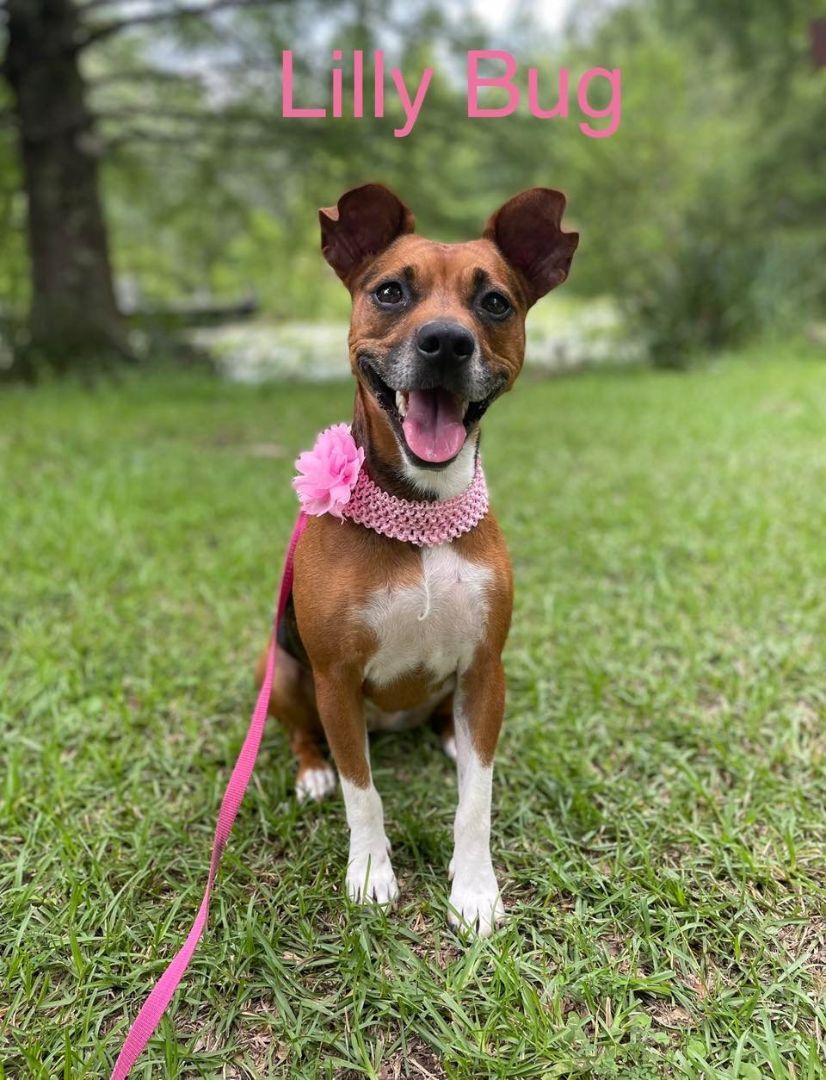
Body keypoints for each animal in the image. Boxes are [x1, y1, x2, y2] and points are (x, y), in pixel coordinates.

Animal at [261, 181, 578, 933]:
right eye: (390, 291)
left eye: (495, 302)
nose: (446, 343)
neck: (422, 517)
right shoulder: (336, 681)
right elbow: (364, 795)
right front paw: (371, 871)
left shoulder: (486, 668)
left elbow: (475, 801)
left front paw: (475, 888)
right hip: (282, 672)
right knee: (305, 738)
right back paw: (310, 771)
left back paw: (449, 737)